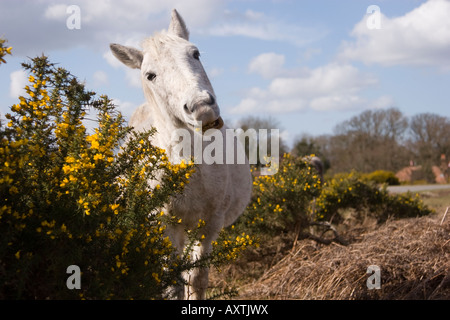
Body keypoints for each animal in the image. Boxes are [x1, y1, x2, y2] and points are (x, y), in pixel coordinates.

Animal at [108, 10, 250, 300]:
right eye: (150, 75)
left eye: (195, 53)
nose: (202, 108)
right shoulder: (165, 226)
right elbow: (171, 284)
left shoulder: (208, 225)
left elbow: (196, 279)